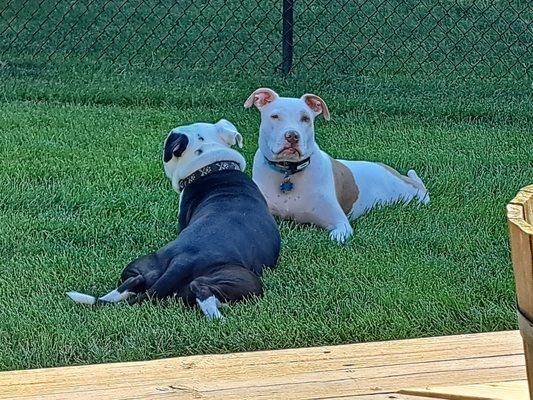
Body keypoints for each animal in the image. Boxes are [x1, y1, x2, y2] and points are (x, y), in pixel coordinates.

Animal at [245, 88, 428, 244]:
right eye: (275, 116)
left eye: (305, 118)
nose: (292, 136)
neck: (288, 172)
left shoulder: (340, 224)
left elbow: (336, 235)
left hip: (409, 194)